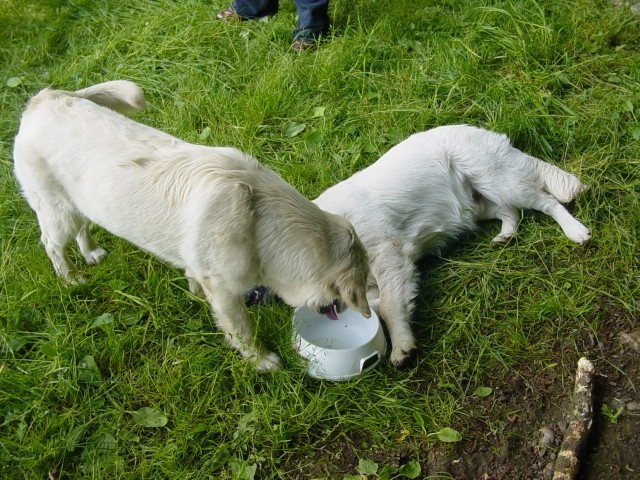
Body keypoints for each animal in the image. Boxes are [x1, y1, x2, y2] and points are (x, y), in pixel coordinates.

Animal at [12, 79, 370, 372]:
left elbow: (193, 276)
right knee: (53, 245)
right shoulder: (225, 292)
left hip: (81, 204)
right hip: (57, 212)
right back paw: (71, 279)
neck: (259, 219)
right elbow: (242, 331)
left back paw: (91, 253)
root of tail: (43, 98)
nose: (353, 312)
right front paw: (261, 361)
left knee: (82, 229)